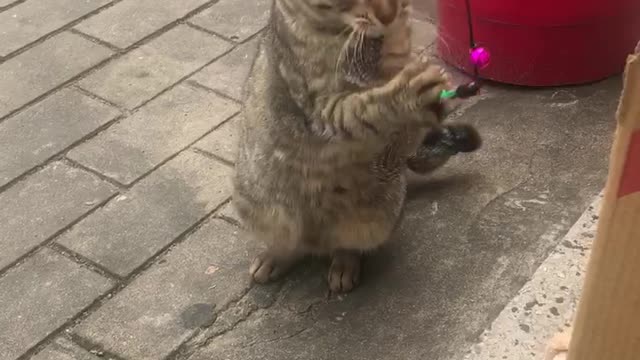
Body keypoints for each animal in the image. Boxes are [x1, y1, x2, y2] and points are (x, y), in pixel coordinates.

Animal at [231, 0, 480, 292]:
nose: (388, 15)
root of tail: (317, 240)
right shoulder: (318, 107)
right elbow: (360, 107)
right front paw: (408, 96)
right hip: (258, 205)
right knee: (293, 242)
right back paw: (275, 257)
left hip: (378, 216)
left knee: (346, 244)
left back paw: (343, 264)